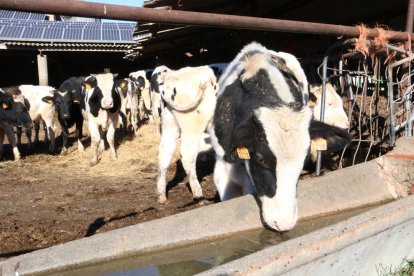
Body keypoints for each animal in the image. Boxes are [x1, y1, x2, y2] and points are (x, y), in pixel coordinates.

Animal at [157, 64, 218, 203]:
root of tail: (171, 77)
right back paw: (198, 195)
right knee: (187, 155)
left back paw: (162, 196)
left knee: (163, 155)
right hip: (192, 125)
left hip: (170, 125)